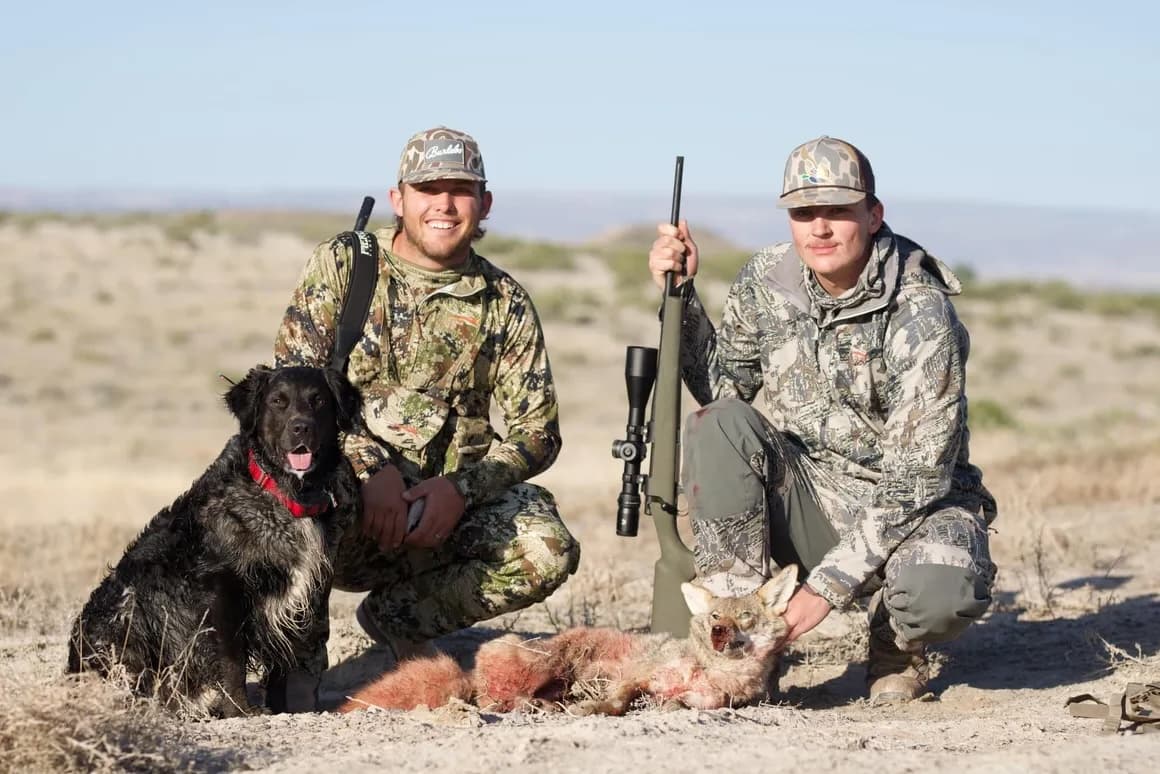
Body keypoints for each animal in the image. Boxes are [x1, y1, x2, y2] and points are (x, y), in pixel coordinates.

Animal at [69, 366, 357, 719]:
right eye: (278, 401)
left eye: (318, 400)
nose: (301, 427)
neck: (284, 493)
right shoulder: (222, 589)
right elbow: (232, 661)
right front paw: (241, 710)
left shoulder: (299, 593)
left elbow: (282, 663)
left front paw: (282, 709)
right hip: (127, 612)